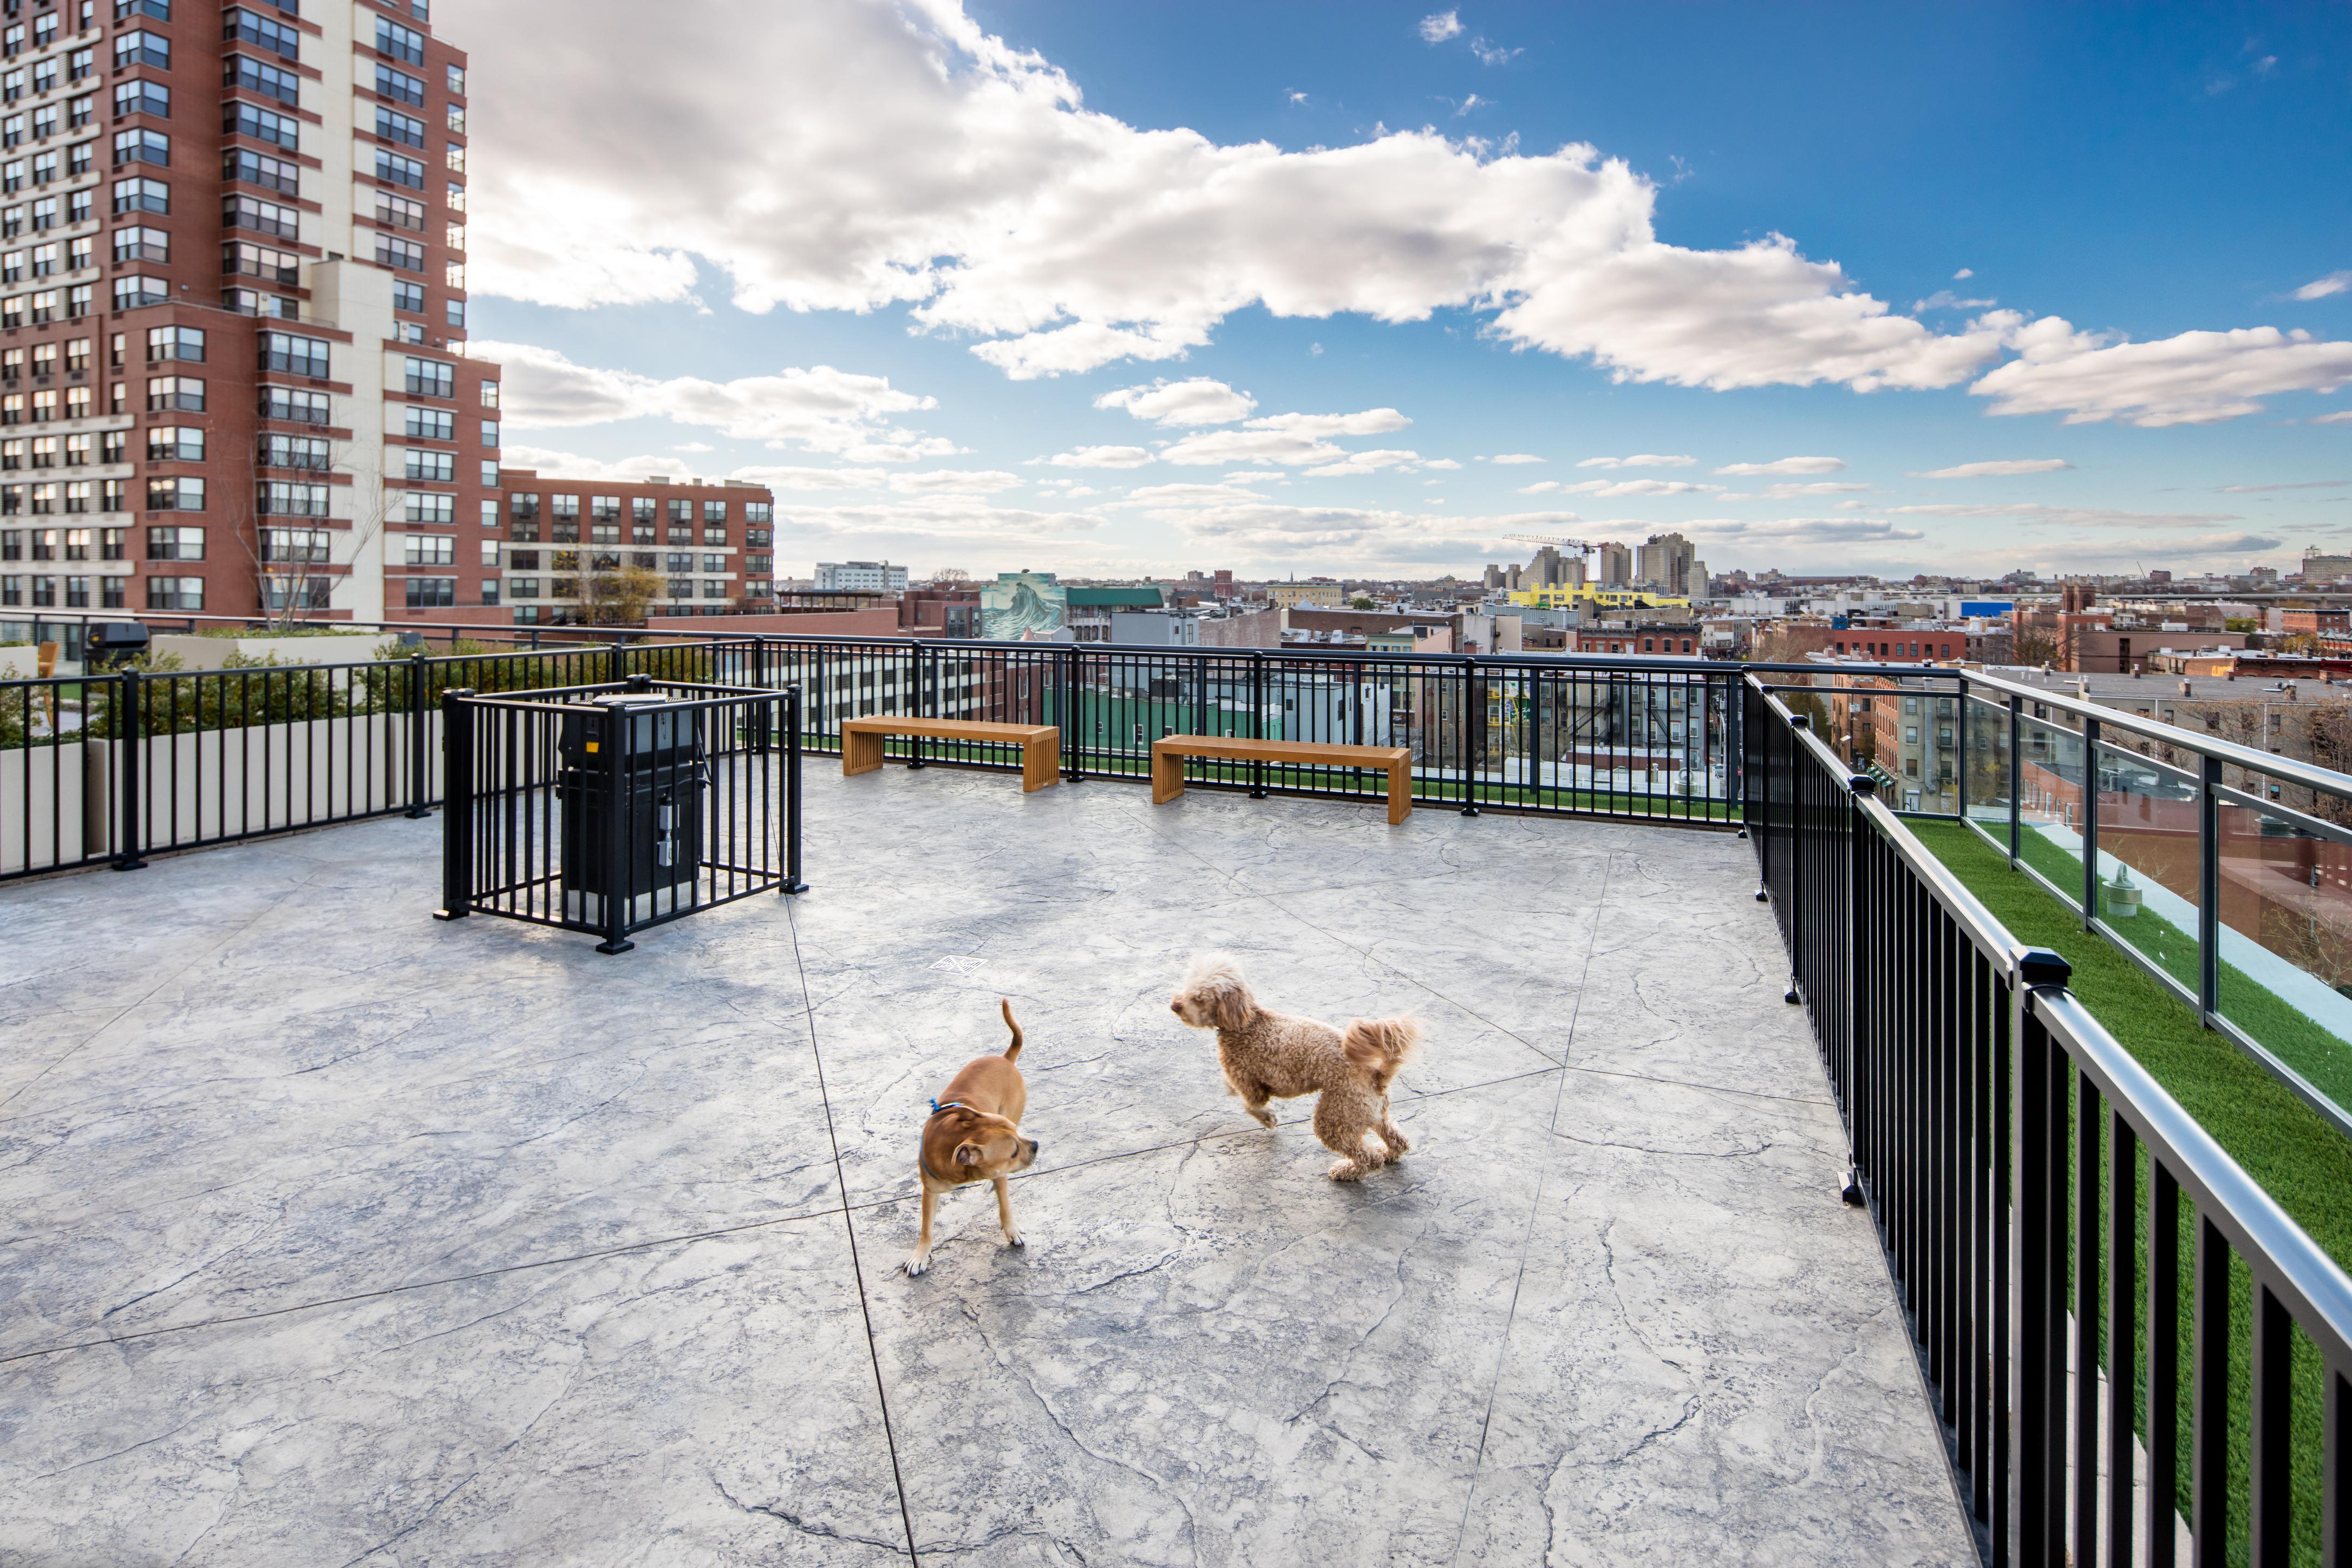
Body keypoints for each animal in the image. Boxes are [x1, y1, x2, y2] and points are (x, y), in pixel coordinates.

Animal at [903, 1006, 1044, 1278]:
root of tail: (1005, 1059)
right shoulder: (930, 1192)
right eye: (1013, 1152)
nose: (1035, 1145)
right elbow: (927, 1229)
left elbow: (1005, 1205)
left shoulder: (1000, 1175)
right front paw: (920, 1256)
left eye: (1017, 1135)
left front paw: (1012, 1230)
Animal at [1171, 959, 1420, 1175]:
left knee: (1368, 1158)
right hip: (1374, 1114)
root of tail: (1376, 1076)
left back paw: (1346, 1171)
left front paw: (1268, 1119)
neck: (1246, 1024)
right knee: (1398, 1141)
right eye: (1187, 984)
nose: (1175, 1005)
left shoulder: (1250, 1083)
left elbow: (1252, 1106)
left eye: (1199, 998)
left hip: (1337, 1117)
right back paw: (1387, 1154)